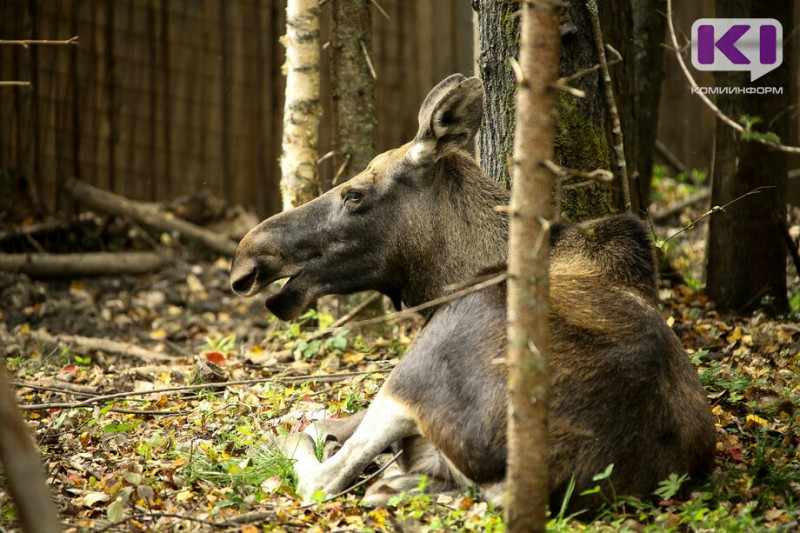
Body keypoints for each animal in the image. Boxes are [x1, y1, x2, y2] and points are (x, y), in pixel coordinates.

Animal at [230, 74, 712, 512]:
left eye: (354, 194)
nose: (246, 259)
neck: (452, 273)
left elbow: (324, 426)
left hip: (418, 370)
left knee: (324, 476)